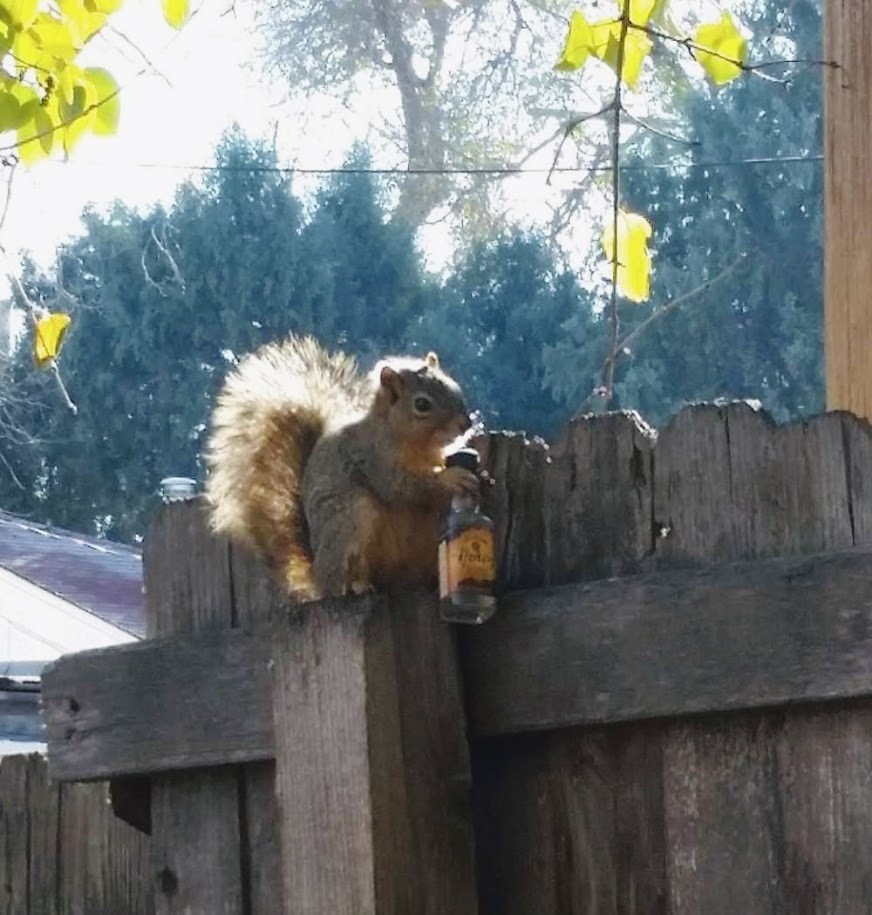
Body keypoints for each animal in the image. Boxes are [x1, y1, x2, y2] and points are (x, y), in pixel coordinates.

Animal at [204, 336, 476, 600]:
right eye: (421, 404)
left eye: (455, 387)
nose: (465, 424)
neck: (412, 441)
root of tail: (316, 572)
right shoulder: (374, 457)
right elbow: (401, 486)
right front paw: (451, 477)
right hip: (349, 518)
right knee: (343, 575)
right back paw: (356, 586)